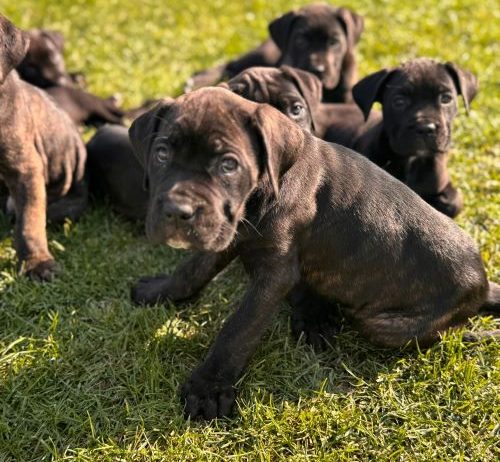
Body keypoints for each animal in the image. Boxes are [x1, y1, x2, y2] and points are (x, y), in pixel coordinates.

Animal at [129, 85, 500, 418]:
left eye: (228, 165)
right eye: (161, 153)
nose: (177, 211)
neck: (263, 191)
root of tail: (482, 282)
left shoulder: (274, 274)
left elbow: (238, 329)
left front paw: (209, 387)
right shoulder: (226, 234)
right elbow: (191, 270)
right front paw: (159, 291)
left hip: (383, 324)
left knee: (445, 334)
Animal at [184, 3, 364, 102]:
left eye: (334, 42)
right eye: (301, 41)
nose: (317, 70)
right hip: (264, 54)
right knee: (229, 64)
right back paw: (196, 81)